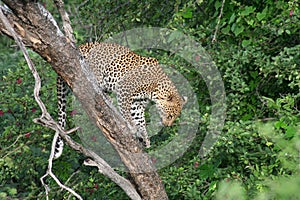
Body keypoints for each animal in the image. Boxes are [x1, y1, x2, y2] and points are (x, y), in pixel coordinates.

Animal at [54, 43, 184, 159]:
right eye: (171, 115)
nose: (167, 125)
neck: (155, 89)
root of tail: (82, 45)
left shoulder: (137, 103)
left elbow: (139, 118)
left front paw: (144, 136)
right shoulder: (124, 89)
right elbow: (126, 112)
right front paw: (131, 126)